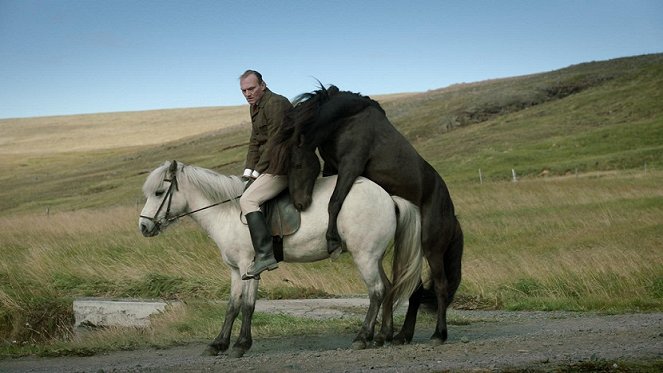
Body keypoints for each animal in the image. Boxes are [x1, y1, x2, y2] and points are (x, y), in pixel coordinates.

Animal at [137, 161, 422, 358]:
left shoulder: (249, 267)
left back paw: (363, 337)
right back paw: (383, 336)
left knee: (377, 291)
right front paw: (218, 344)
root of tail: (388, 197)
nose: (143, 227)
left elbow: (248, 306)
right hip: (374, 257)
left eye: (159, 192)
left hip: (365, 256)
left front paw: (241, 345)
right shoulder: (235, 271)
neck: (227, 212)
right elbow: (232, 306)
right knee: (389, 288)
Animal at [268, 84, 464, 346]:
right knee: (415, 290)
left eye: (297, 165)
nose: (300, 203)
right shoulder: (332, 167)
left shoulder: (350, 166)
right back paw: (401, 335)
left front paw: (332, 240)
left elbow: (334, 201)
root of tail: (452, 216)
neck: (346, 119)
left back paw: (438, 334)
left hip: (432, 249)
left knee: (441, 286)